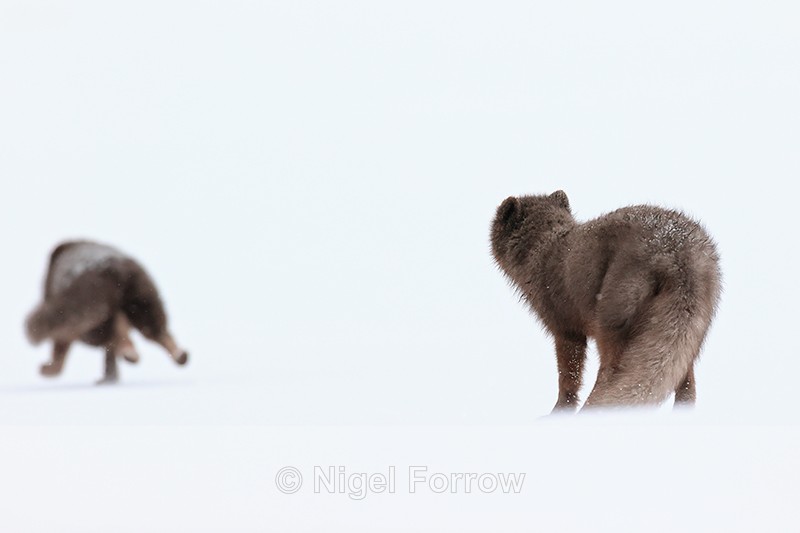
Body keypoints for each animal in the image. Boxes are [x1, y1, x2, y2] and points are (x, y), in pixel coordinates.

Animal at [25, 240, 189, 384]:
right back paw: (179, 356)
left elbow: (60, 351)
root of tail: (113, 269)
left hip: (96, 318)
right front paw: (110, 378)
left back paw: (130, 354)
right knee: (158, 333)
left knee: (119, 335)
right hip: (144, 303)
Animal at [490, 191, 721, 412]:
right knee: (686, 379)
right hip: (691, 329)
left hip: (613, 319)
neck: (544, 247)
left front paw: (560, 409)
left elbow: (569, 374)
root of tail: (677, 258)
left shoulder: (563, 326)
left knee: (611, 372)